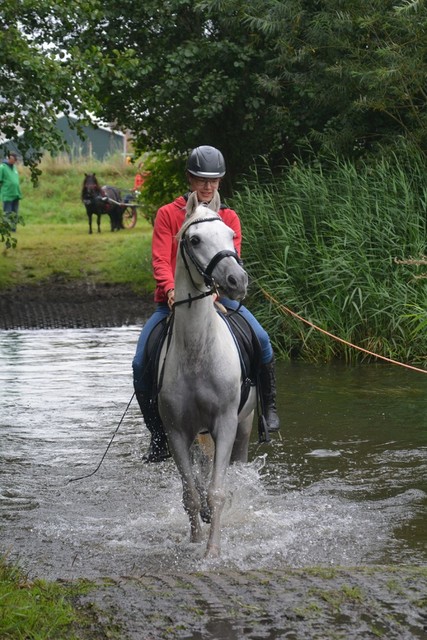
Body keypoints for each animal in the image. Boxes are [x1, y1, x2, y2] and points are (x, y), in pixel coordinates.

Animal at [159, 189, 256, 556]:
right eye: (195, 239)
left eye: (230, 235)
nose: (237, 280)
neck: (198, 352)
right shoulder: (175, 431)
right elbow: (191, 493)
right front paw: (195, 542)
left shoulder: (226, 423)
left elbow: (216, 492)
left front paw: (213, 551)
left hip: (245, 425)